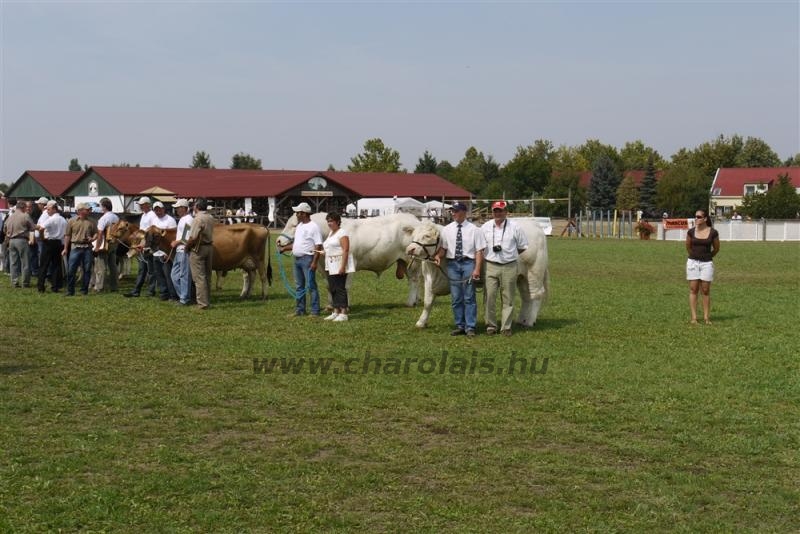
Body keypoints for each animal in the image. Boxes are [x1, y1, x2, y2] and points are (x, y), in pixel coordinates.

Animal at [276, 213, 424, 306]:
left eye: (294, 225)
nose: (278, 241)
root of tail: (414, 219)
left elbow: (345, 286)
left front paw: (345, 306)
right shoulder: (324, 267)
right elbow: (329, 285)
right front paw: (331, 306)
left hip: (413, 260)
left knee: (414, 280)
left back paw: (410, 302)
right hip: (405, 262)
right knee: (413, 280)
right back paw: (416, 300)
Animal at [410, 220, 548, 328]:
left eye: (427, 236)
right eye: (413, 235)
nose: (410, 249)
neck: (434, 269)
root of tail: (534, 224)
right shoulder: (429, 280)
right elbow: (428, 302)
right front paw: (421, 323)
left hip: (534, 272)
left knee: (537, 295)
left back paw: (529, 321)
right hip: (522, 277)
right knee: (527, 296)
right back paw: (522, 320)